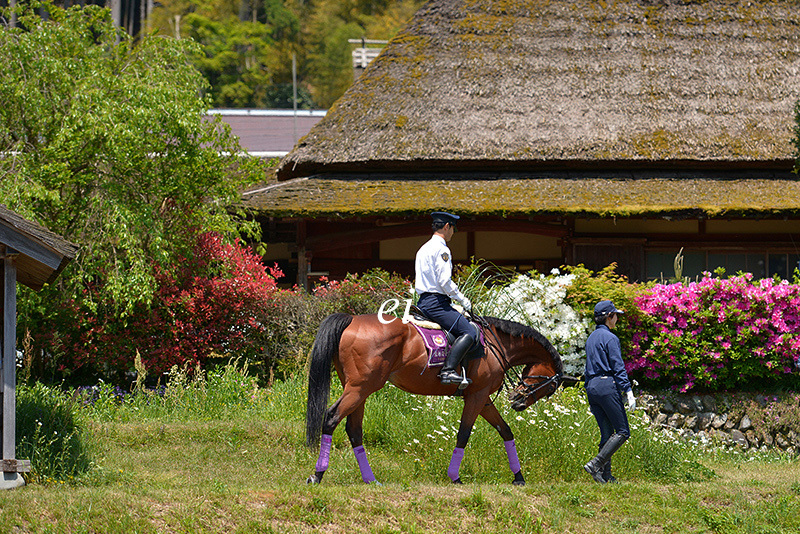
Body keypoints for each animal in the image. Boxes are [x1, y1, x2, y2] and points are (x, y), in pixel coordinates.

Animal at [304, 312, 564, 488]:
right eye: (550, 385)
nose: (518, 403)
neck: (495, 345)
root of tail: (352, 320)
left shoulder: (482, 398)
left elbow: (506, 431)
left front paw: (518, 477)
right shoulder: (477, 396)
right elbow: (464, 434)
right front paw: (455, 477)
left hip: (360, 390)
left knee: (354, 430)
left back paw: (370, 479)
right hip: (360, 388)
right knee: (331, 418)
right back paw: (318, 474)